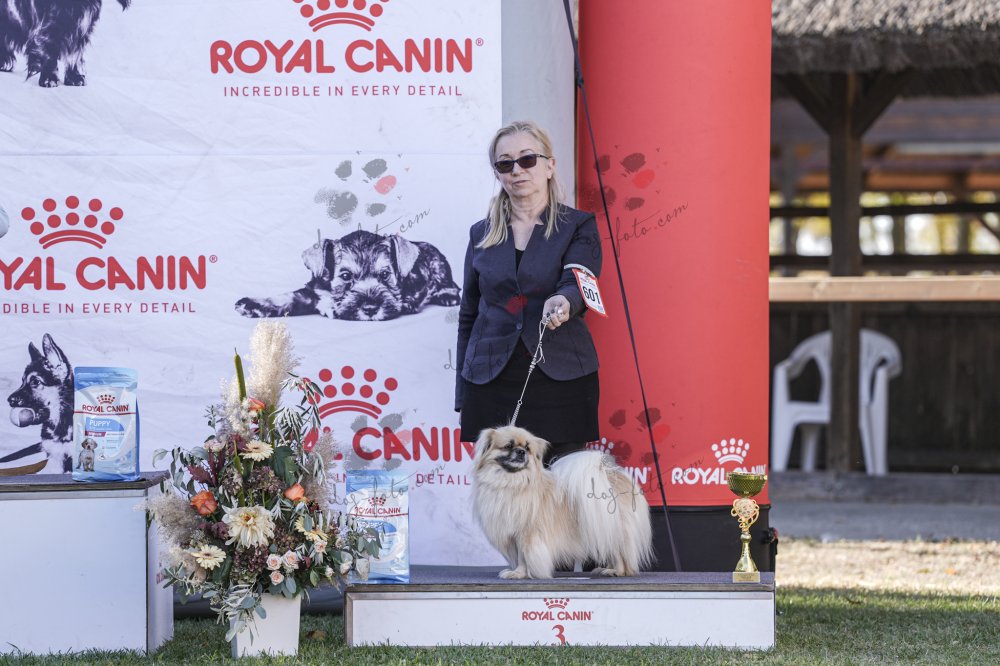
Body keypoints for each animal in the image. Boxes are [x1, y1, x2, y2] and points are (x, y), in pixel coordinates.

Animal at [0, 0, 132, 88]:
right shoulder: (49, 29)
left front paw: (75, 78)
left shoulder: (80, 30)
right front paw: (49, 79)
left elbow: (75, 56)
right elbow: (49, 55)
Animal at [236, 230, 461, 321]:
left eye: (385, 274)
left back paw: (447, 296)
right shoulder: (311, 292)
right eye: (345, 276)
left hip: (439, 266)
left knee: (452, 285)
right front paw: (250, 305)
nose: (370, 309)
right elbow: (284, 297)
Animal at [472, 425, 653, 579]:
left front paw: (518, 574)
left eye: (528, 448)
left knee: (620, 555)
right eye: (508, 446)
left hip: (612, 528)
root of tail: (615, 475)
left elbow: (523, 557)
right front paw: (518, 572)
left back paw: (616, 571)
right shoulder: (512, 535)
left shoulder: (526, 534)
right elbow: (517, 556)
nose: (521, 452)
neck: (511, 481)